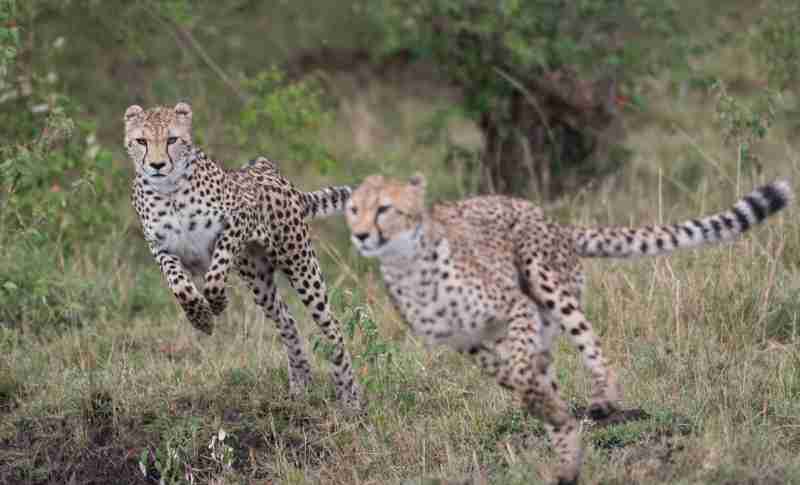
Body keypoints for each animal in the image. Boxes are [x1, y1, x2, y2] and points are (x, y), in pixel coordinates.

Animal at [125, 102, 362, 408]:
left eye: (172, 140)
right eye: (141, 141)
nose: (156, 166)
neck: (169, 192)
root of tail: (267, 168)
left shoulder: (239, 221)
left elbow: (215, 274)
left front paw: (217, 304)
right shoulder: (161, 249)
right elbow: (181, 287)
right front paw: (201, 318)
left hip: (301, 264)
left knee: (331, 325)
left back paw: (349, 396)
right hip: (259, 279)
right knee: (287, 321)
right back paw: (301, 384)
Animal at [346, 173, 792, 480]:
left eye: (384, 208)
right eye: (353, 209)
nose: (361, 234)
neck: (409, 264)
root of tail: (549, 219)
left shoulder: (515, 307)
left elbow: (522, 364)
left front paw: (539, 395)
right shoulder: (465, 341)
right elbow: (510, 373)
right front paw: (541, 405)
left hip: (546, 281)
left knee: (588, 342)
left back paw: (603, 399)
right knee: (551, 372)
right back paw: (565, 451)